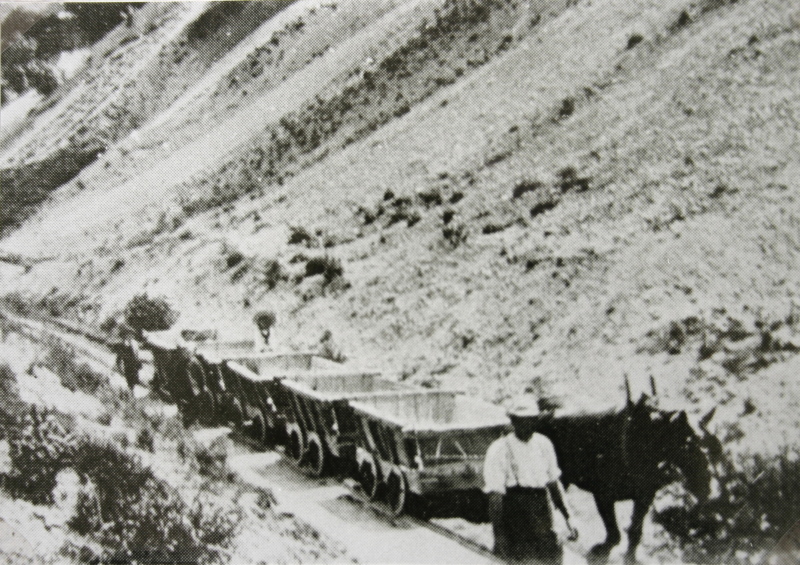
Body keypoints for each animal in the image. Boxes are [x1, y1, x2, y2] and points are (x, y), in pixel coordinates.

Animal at [536, 377, 721, 565]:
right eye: (688, 447)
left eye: (715, 446)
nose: (708, 489)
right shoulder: (603, 495)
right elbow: (613, 534)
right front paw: (601, 549)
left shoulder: (645, 496)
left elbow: (634, 532)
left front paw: (630, 556)